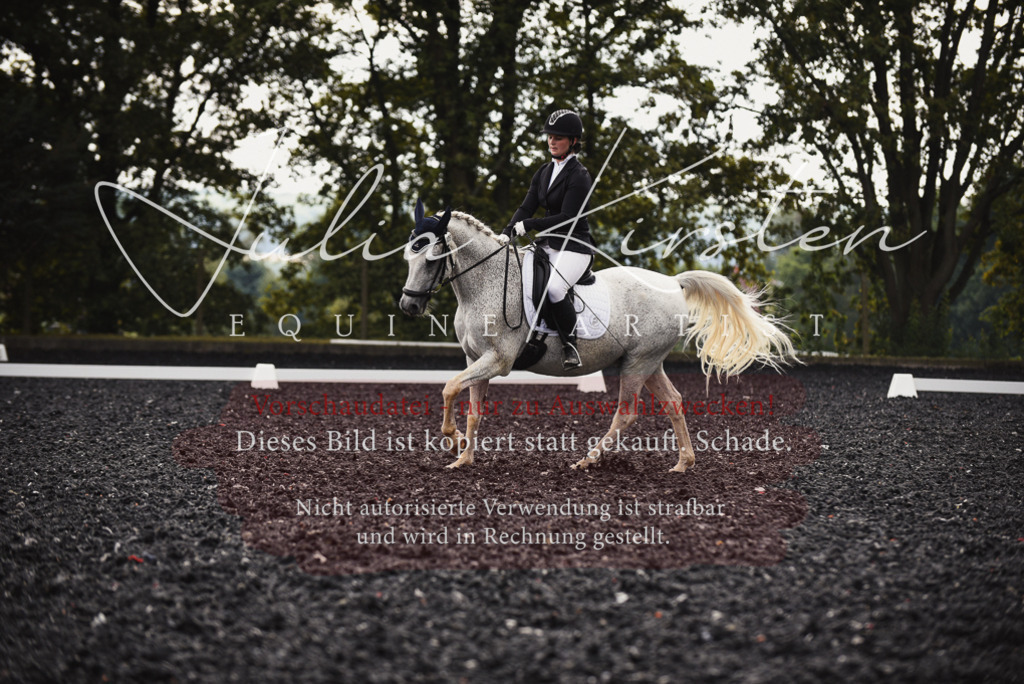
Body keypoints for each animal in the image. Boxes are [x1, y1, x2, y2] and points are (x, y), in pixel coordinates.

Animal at [398, 202, 798, 472]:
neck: (485, 283)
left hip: (637, 363)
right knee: (673, 401)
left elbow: (449, 388)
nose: (408, 306)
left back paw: (587, 460)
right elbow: (473, 410)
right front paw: (463, 457)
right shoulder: (476, 358)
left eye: (432, 258)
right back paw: (683, 463)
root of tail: (673, 283)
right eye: (408, 256)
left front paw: (452, 439)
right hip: (649, 362)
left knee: (627, 413)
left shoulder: (498, 360)